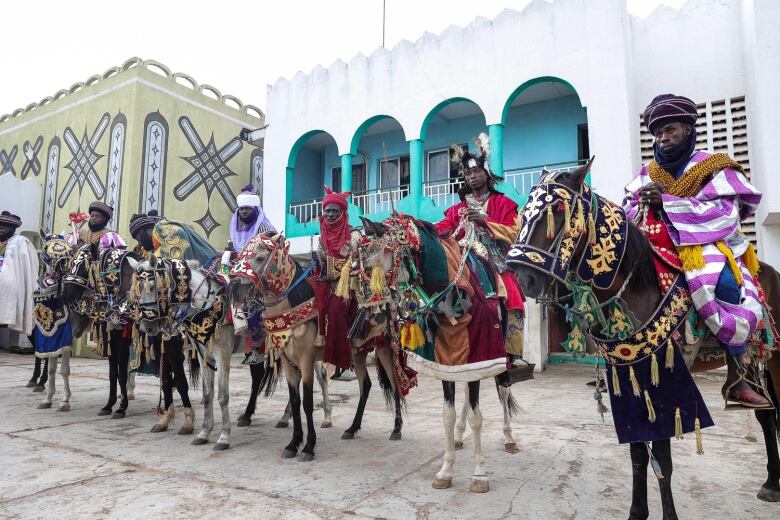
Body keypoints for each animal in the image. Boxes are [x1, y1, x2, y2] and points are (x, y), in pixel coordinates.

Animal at [62, 243, 137, 418]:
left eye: (84, 267)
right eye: (71, 263)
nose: (66, 295)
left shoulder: (122, 340)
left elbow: (122, 374)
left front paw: (122, 408)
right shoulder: (110, 340)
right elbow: (113, 374)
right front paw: (109, 405)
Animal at [131, 254, 238, 448]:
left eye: (152, 286)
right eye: (137, 289)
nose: (147, 327)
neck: (208, 305)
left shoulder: (223, 355)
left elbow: (222, 396)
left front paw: (224, 437)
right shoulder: (205, 356)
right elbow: (207, 394)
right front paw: (204, 432)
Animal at [229, 234, 332, 462]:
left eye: (260, 258)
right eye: (239, 257)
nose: (235, 290)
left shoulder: (306, 359)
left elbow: (307, 403)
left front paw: (309, 447)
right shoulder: (287, 361)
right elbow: (295, 400)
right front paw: (293, 444)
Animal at [360, 214, 524, 492]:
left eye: (386, 252)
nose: (371, 310)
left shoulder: (482, 355)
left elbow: (478, 418)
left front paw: (479, 475)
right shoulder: (448, 361)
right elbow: (448, 415)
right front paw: (446, 470)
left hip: (503, 357)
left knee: (503, 392)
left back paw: (509, 438)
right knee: (468, 396)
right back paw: (458, 436)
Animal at [506, 160, 780, 516]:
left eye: (559, 212)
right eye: (524, 212)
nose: (523, 278)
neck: (637, 286)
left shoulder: (664, 374)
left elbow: (662, 458)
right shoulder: (626, 375)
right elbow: (637, 452)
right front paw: (637, 512)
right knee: (767, 415)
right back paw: (770, 480)